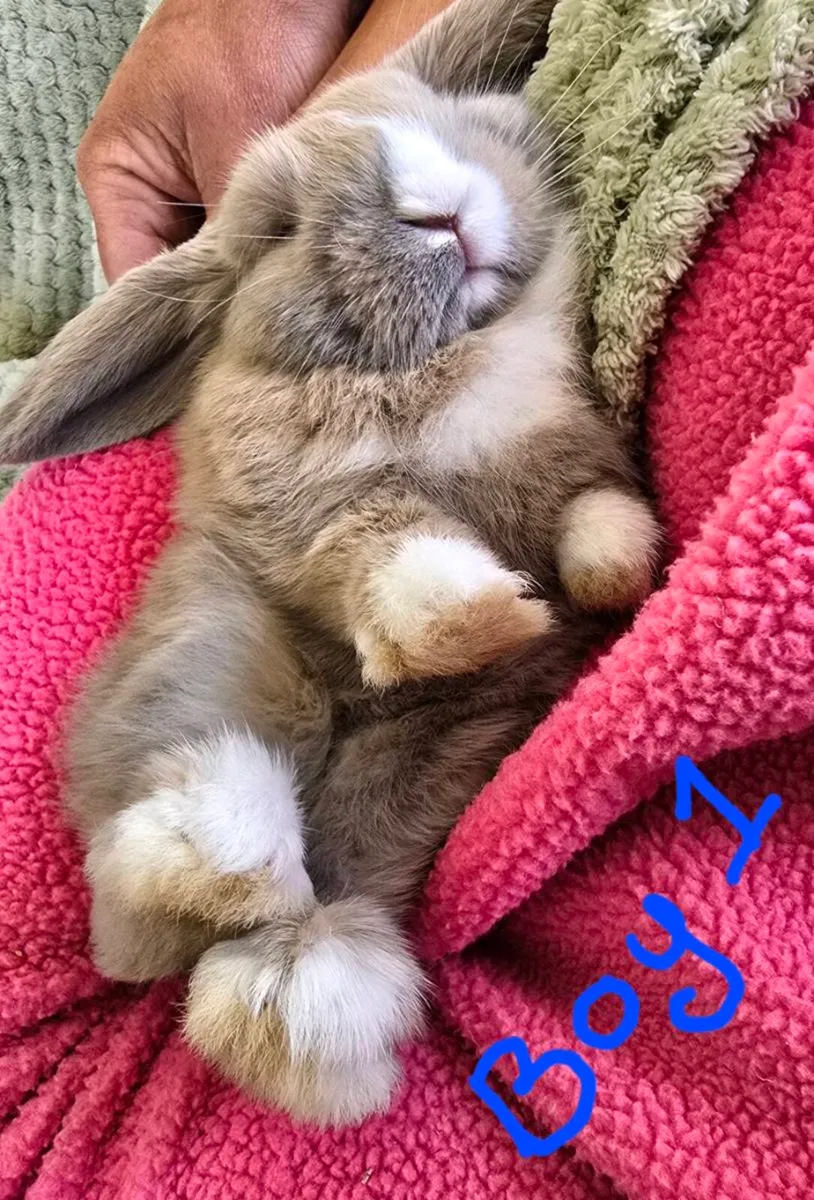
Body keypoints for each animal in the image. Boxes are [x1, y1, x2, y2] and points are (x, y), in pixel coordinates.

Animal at [0, 0, 661, 1125]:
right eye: (277, 230)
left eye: (423, 112)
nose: (434, 211)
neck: (453, 355)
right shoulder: (310, 514)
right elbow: (381, 547)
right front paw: (473, 616)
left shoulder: (565, 456)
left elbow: (595, 515)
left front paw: (610, 579)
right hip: (207, 655)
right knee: (151, 898)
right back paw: (219, 855)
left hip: (429, 772)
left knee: (324, 905)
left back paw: (295, 996)